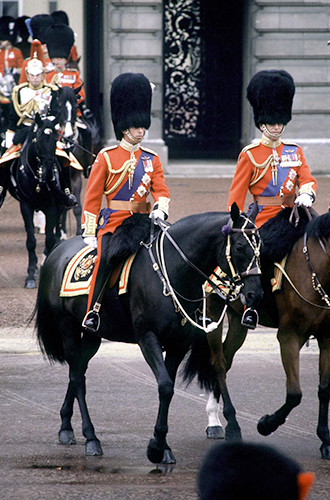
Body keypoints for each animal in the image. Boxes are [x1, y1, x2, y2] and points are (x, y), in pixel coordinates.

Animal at [7, 112, 66, 286]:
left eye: (55, 140)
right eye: (38, 140)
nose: (48, 174)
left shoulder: (53, 206)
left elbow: (49, 238)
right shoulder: (26, 206)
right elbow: (31, 240)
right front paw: (31, 274)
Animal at [36, 204, 262, 464]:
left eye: (260, 246)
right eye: (239, 246)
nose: (256, 294)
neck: (173, 271)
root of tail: (56, 251)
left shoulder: (178, 344)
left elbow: (170, 387)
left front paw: (161, 445)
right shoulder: (147, 338)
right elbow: (165, 386)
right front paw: (157, 446)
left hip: (92, 335)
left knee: (77, 371)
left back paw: (66, 426)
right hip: (68, 327)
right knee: (77, 378)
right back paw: (91, 437)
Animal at [193, 206, 330, 458]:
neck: (315, 268)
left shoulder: (326, 338)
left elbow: (324, 389)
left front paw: (325, 439)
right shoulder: (289, 336)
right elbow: (294, 394)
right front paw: (266, 424)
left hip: (238, 323)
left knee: (226, 360)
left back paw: (217, 419)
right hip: (214, 315)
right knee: (218, 364)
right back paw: (223, 423)